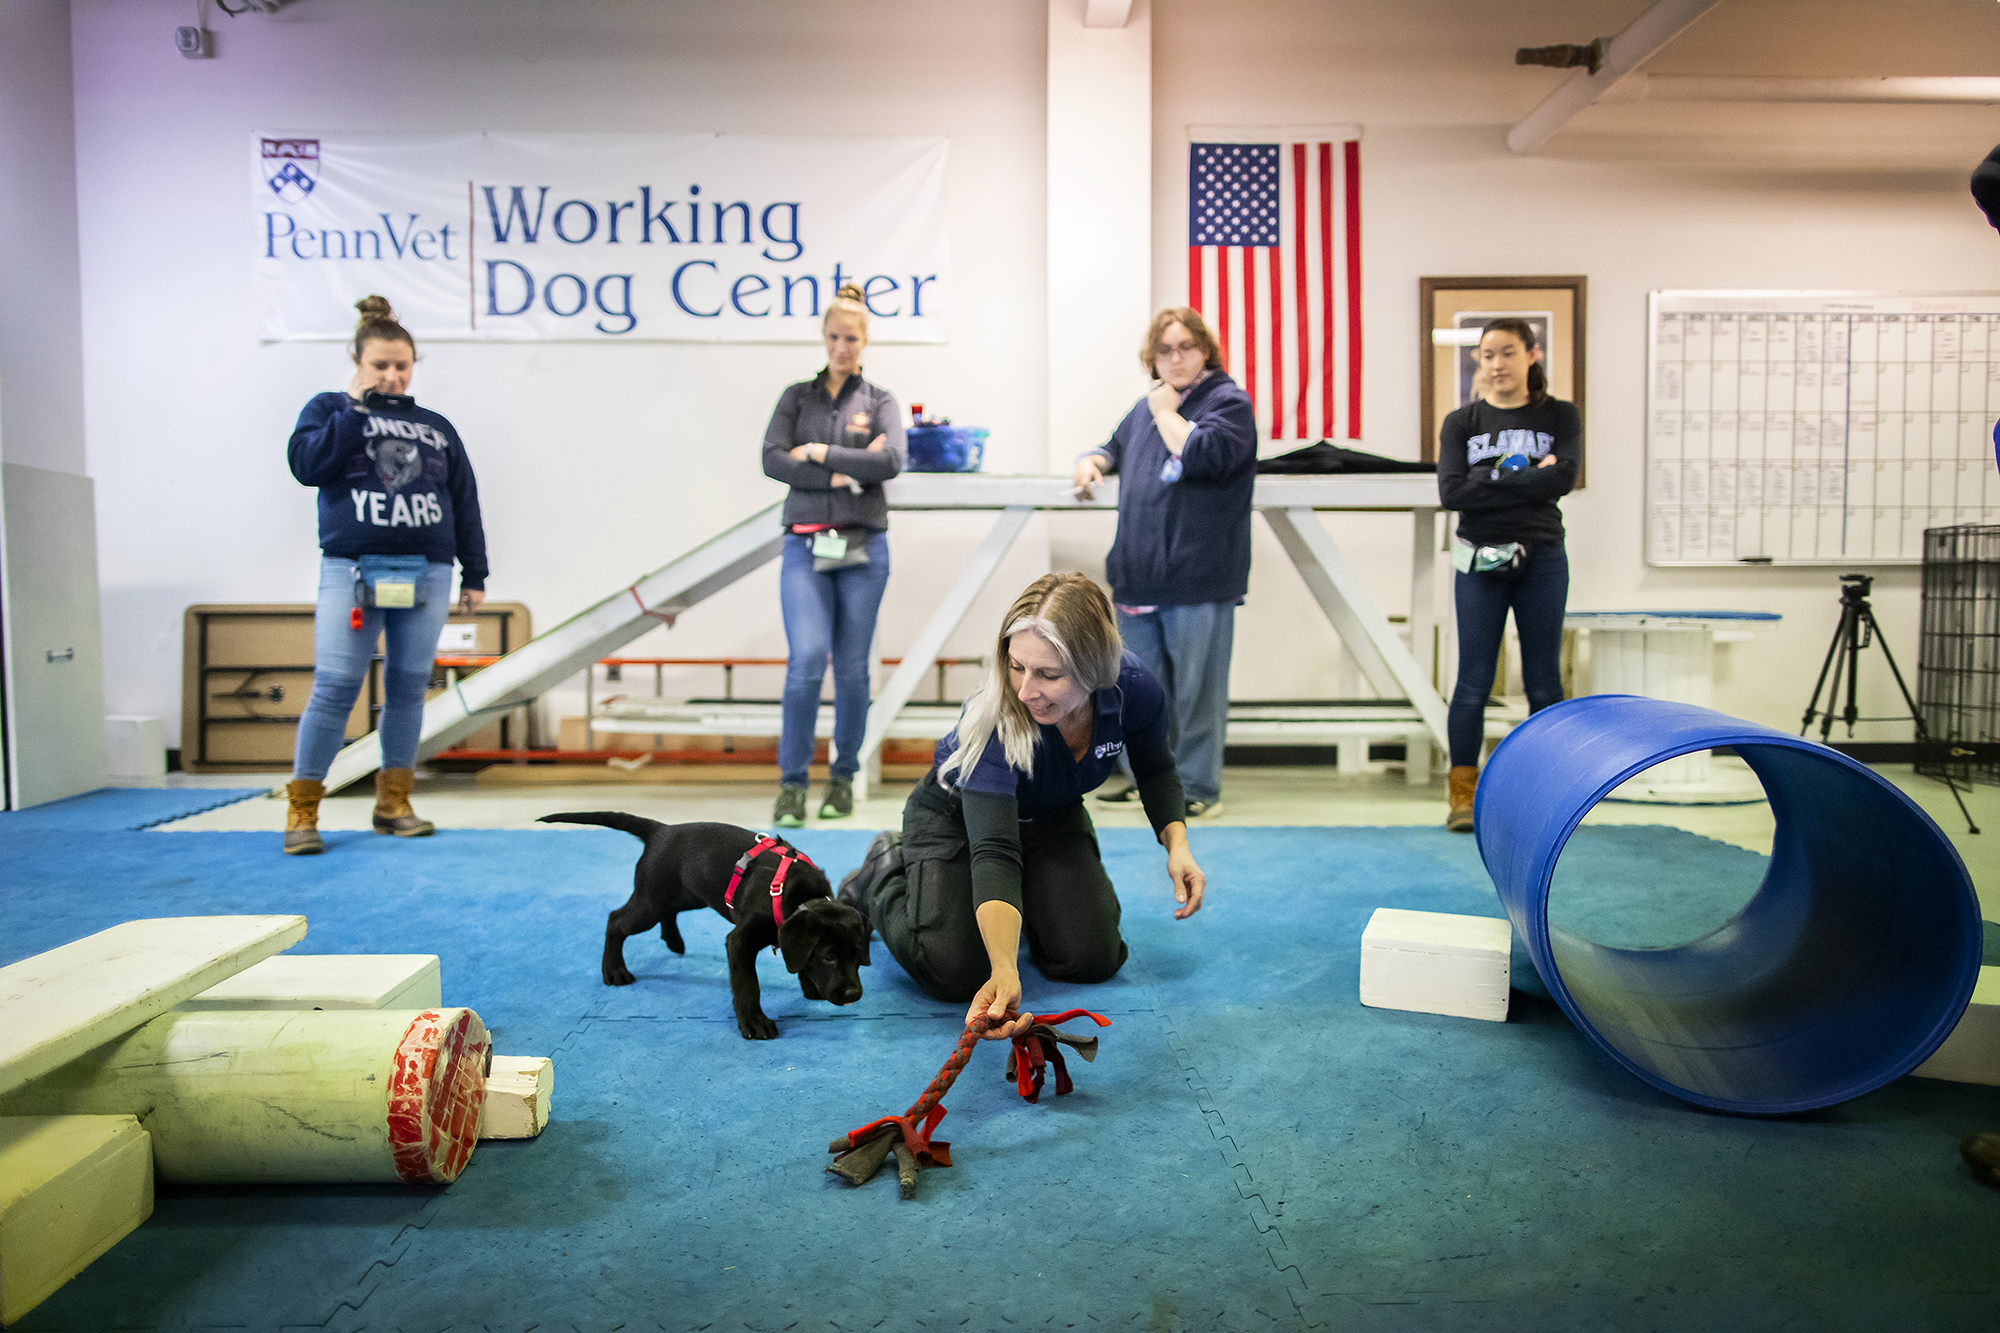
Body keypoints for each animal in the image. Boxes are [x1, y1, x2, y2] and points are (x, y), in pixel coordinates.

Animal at [536, 808, 872, 1040]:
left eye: (859, 957)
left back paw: (673, 941)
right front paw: (754, 1023)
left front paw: (809, 985)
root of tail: (661, 831)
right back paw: (614, 970)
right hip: (651, 900)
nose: (854, 994)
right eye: (829, 957)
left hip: (690, 892)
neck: (798, 896)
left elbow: (796, 959)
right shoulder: (740, 941)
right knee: (616, 920)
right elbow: (748, 984)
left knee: (669, 911)